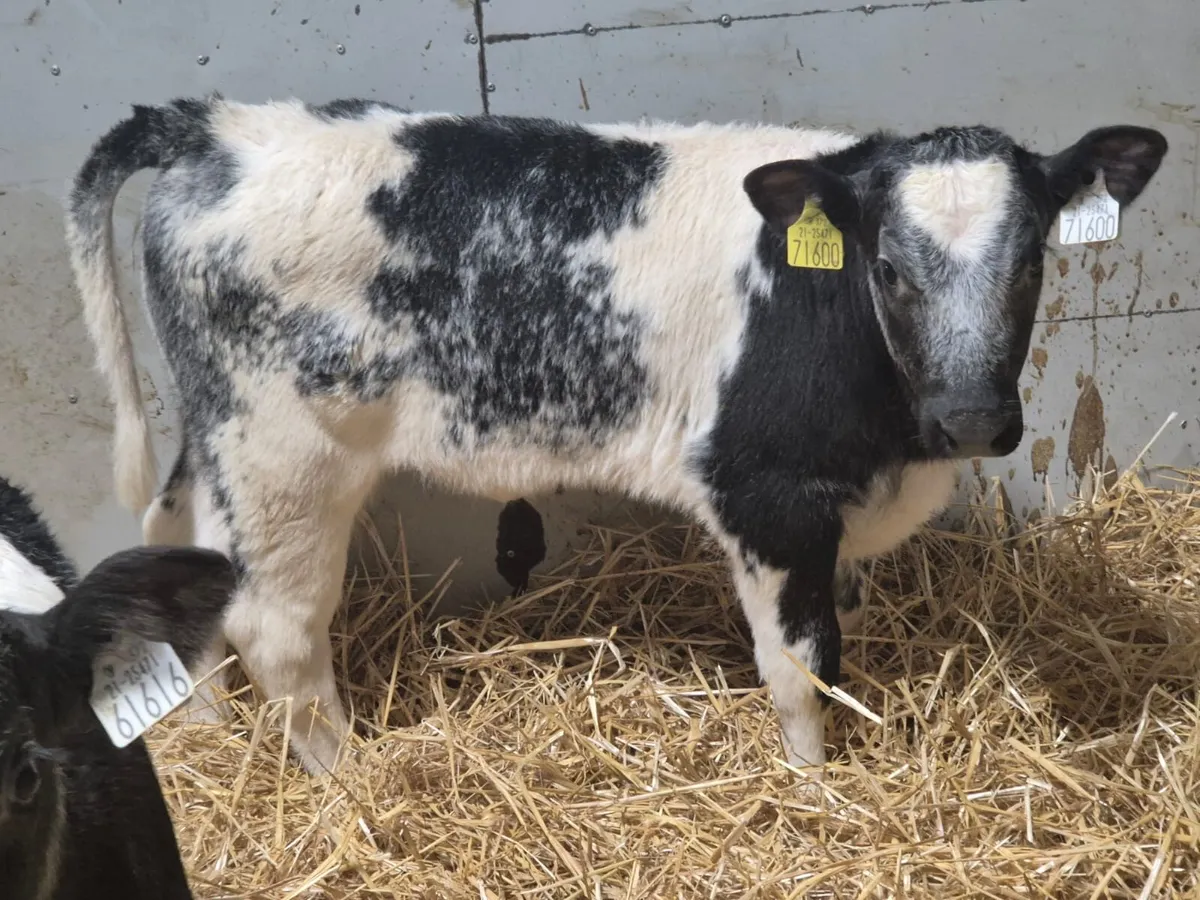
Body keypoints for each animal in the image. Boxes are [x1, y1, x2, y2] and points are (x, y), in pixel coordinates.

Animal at [64, 93, 1167, 779]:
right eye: (890, 267)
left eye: (1033, 261)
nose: (972, 417)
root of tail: (217, 127)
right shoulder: (765, 493)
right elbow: (804, 662)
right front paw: (817, 786)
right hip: (288, 454)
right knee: (278, 627)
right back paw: (346, 787)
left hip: (218, 435)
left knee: (179, 540)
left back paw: (210, 725)